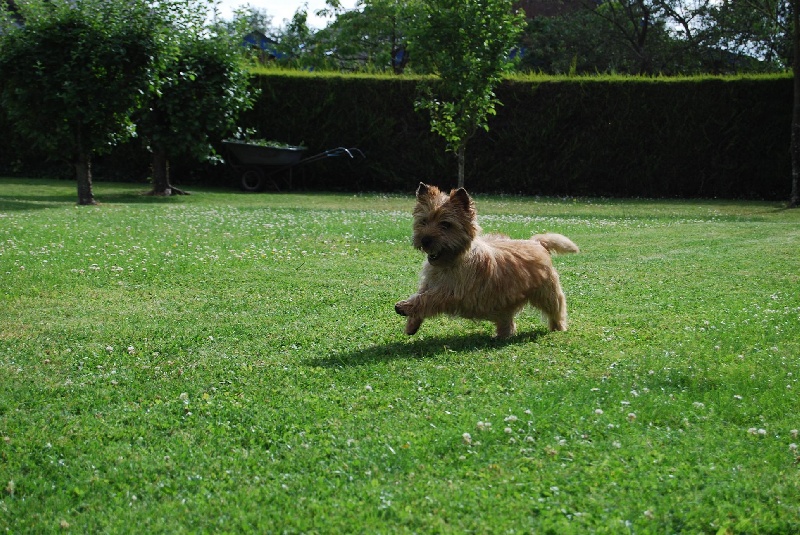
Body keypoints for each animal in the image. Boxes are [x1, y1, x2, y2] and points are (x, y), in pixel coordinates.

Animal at [396, 182, 580, 338]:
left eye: (446, 224)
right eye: (423, 221)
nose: (425, 240)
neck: (450, 262)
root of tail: (537, 243)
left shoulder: (453, 292)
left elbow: (428, 299)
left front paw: (405, 307)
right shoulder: (429, 283)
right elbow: (420, 294)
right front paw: (411, 324)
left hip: (547, 292)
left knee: (557, 309)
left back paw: (558, 327)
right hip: (507, 302)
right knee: (507, 320)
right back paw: (502, 335)